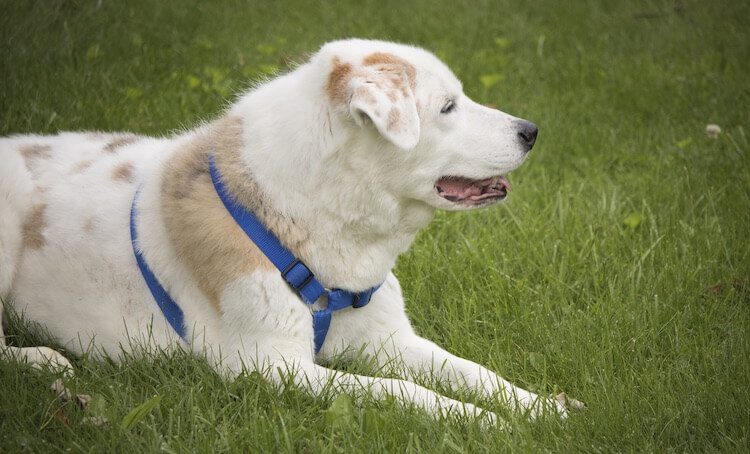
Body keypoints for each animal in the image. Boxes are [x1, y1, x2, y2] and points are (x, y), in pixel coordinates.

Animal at [1, 38, 576, 422]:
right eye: (448, 107)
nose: (531, 131)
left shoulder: (387, 339)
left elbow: (471, 371)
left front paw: (540, 407)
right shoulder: (271, 366)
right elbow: (396, 391)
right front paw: (485, 422)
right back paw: (40, 359)